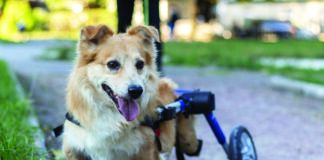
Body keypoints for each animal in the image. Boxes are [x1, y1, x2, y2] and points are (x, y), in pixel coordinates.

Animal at [61, 24, 200, 159]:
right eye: (112, 64)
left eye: (140, 64)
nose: (136, 91)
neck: (112, 115)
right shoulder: (73, 150)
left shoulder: (147, 151)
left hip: (188, 141)